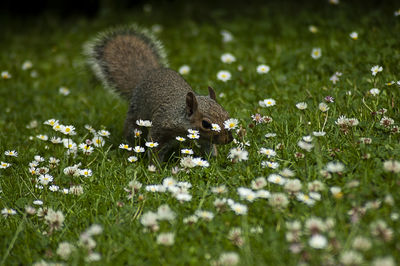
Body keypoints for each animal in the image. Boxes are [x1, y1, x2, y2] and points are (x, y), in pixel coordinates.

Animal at [85, 25, 233, 162]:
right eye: (206, 124)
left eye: (227, 114)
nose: (229, 139)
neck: (180, 118)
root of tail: (148, 75)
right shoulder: (160, 129)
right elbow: (155, 148)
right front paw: (155, 168)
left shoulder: (203, 139)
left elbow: (209, 147)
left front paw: (214, 160)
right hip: (135, 119)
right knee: (131, 135)